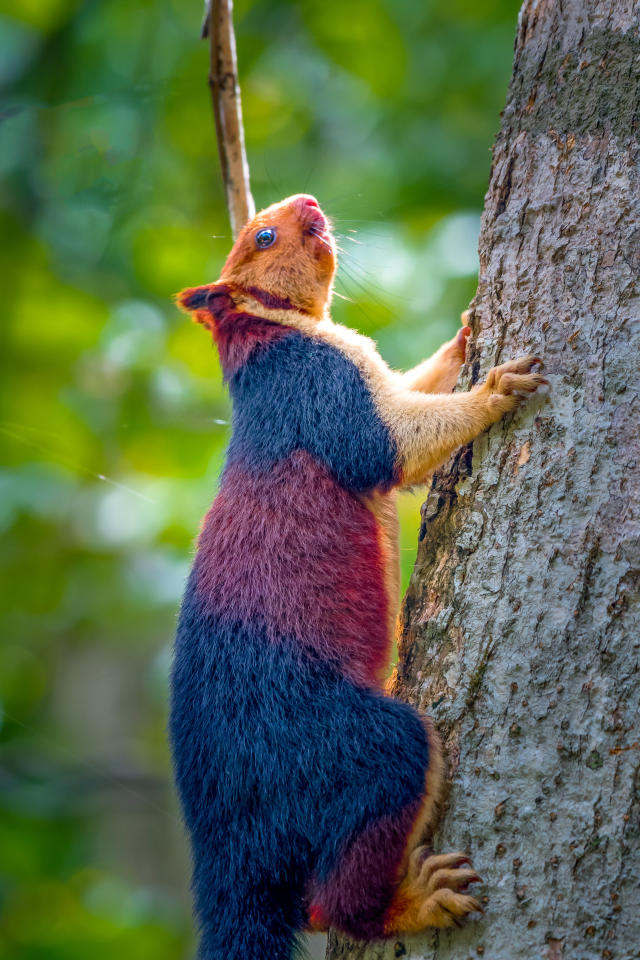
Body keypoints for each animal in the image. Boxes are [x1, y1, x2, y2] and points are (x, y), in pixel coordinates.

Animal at [170, 191, 544, 956]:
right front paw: (494, 387)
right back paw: (416, 903)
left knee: (315, 908)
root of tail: (234, 842)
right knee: (337, 902)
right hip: (352, 748)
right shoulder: (318, 391)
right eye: (263, 235)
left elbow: (411, 385)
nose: (310, 201)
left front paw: (466, 334)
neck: (274, 331)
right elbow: (395, 441)